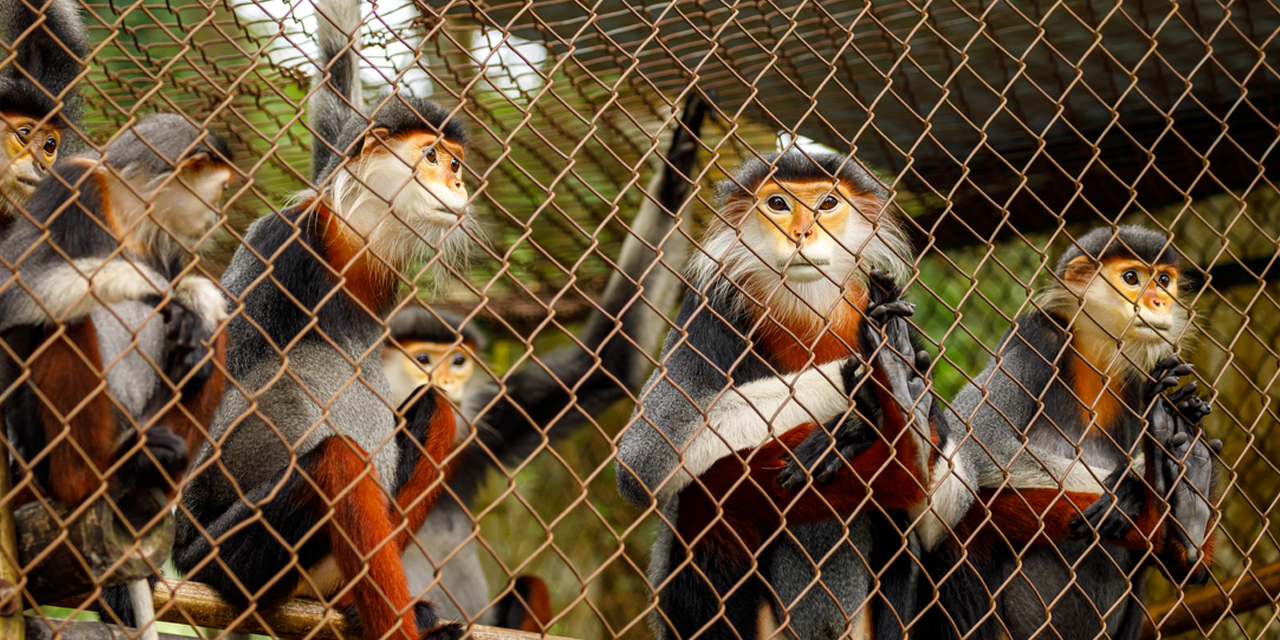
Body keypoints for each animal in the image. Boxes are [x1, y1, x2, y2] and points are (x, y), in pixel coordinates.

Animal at [169, 0, 473, 638]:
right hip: (223, 558)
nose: (457, 180)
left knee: (438, 412)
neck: (346, 243)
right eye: (431, 156)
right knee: (341, 460)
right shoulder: (281, 240)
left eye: (455, 162)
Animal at [385, 93, 710, 630]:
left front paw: (677, 166)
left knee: (529, 585)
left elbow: (608, 362)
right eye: (423, 360)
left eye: (458, 363)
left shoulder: (490, 420)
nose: (446, 387)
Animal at [615, 150, 941, 640]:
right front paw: (873, 386)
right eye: (778, 204)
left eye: (827, 203)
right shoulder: (709, 308)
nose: (802, 232)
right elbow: (644, 458)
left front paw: (862, 416)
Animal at [910, 225, 1220, 640]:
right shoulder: (1037, 338)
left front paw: (1139, 480)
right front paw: (1128, 490)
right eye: (1131, 278)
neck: (1094, 353)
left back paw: (1188, 508)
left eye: (1164, 280)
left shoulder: (1137, 380)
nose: (1159, 301)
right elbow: (977, 441)